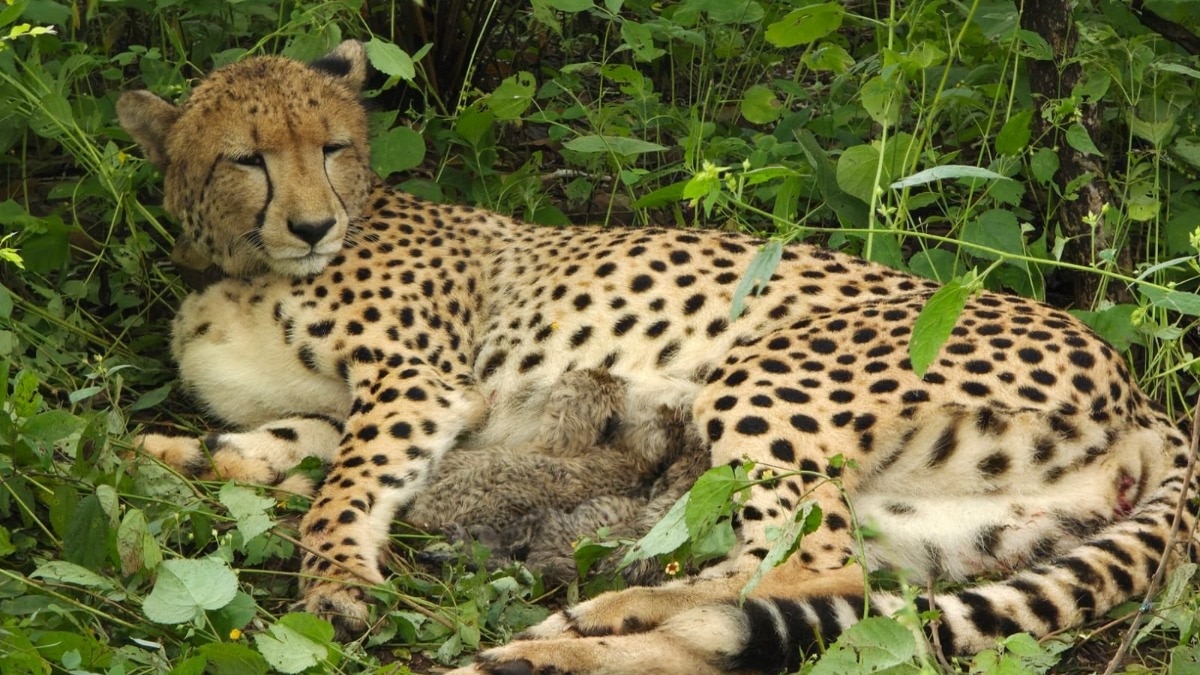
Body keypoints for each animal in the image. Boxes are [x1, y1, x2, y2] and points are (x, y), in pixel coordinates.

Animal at [117, 40, 1198, 674]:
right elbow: (272, 447)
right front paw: (158, 456)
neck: (241, 265)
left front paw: (335, 581)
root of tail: (1144, 392)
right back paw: (567, 641)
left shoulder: (418, 383)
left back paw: (602, 617)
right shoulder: (348, 406)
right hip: (950, 522)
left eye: (334, 146)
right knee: (832, 589)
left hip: (765, 377)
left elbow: (343, 487)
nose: (312, 224)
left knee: (806, 569)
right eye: (246, 157)